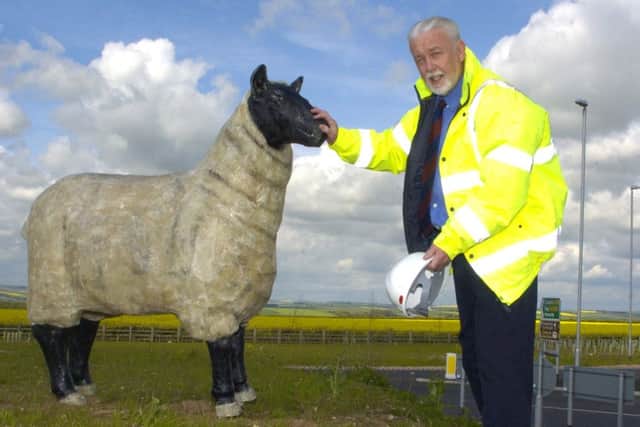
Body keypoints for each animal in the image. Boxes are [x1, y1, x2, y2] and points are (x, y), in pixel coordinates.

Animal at [21, 64, 325, 418]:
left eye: (303, 98)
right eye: (275, 97)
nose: (320, 132)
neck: (224, 194)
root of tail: (36, 207)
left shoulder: (236, 297)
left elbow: (237, 343)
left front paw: (244, 390)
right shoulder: (212, 297)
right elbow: (221, 345)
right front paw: (225, 400)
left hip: (86, 289)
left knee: (83, 332)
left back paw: (84, 385)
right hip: (50, 283)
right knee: (49, 334)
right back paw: (66, 392)